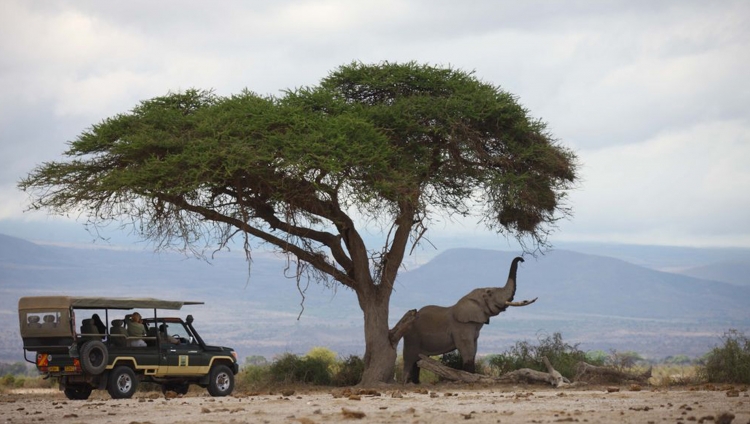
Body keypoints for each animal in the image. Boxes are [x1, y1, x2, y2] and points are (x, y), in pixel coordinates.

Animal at [402, 255, 536, 384]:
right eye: (490, 293)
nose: (522, 260)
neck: (470, 298)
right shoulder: (461, 327)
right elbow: (468, 349)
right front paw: (470, 377)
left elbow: (474, 349)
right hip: (411, 335)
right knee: (409, 358)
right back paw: (406, 382)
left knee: (417, 360)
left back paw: (416, 382)